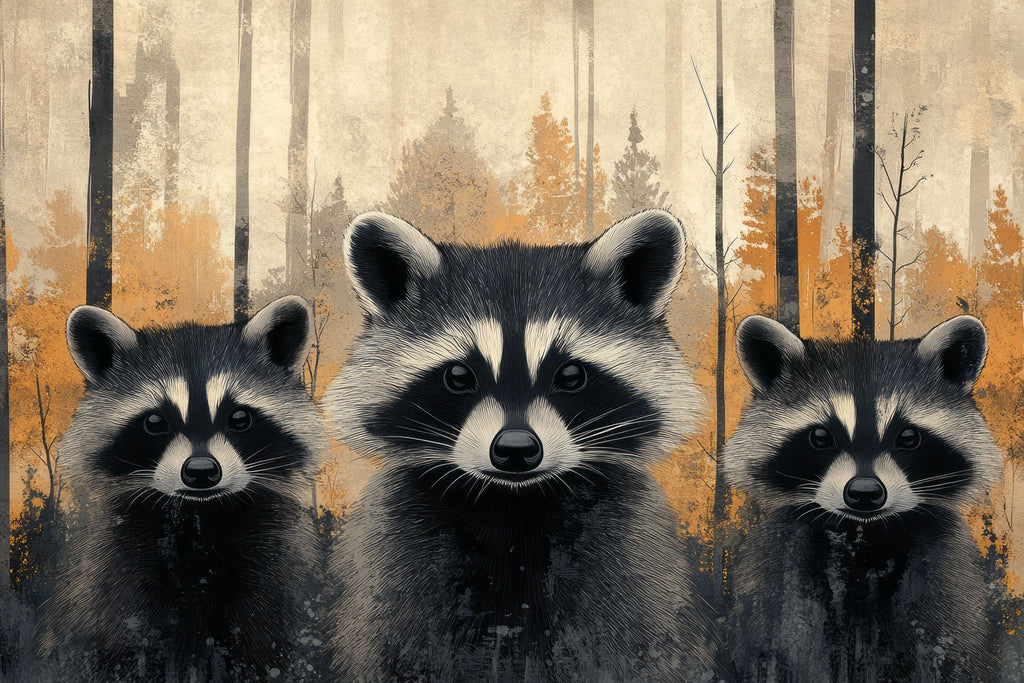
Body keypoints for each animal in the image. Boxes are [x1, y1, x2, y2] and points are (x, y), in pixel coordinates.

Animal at [35, 296, 328, 682]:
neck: (200, 515)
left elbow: (276, 641)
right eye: (155, 421)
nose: (201, 472)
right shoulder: (112, 569)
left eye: (239, 418)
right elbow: (112, 643)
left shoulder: (279, 564)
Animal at [324, 210, 714, 680]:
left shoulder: (631, 551)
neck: (513, 504)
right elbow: (389, 645)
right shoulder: (396, 552)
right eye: (459, 375)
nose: (514, 448)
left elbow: (641, 643)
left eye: (570, 375)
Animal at [722, 314, 1002, 682]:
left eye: (908, 436)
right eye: (820, 436)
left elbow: (947, 643)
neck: (863, 533)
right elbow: (782, 642)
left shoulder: (942, 564)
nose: (865, 493)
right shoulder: (781, 562)